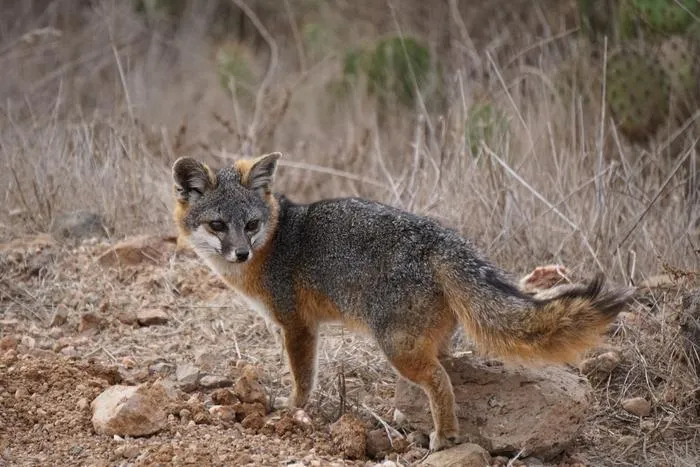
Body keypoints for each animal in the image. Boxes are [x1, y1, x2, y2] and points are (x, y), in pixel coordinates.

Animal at [171, 152, 635, 451]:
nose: (240, 253)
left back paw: (444, 437)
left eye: (250, 225)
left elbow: (302, 378)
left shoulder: (297, 326)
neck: (273, 242)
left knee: (439, 380)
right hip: (424, 338)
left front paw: (291, 409)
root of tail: (442, 239)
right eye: (218, 225)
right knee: (446, 366)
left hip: (395, 346)